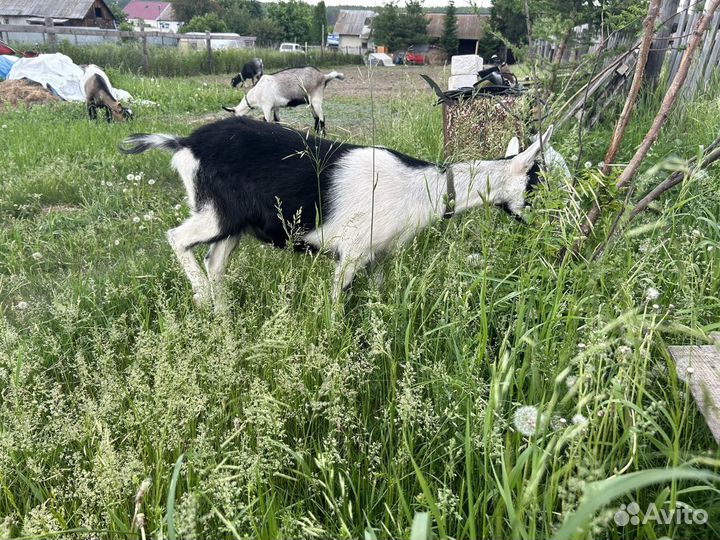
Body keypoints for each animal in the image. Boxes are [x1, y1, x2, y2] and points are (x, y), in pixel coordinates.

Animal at [120, 117, 553, 310]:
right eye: (538, 181)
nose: (546, 225)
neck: (422, 186)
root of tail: (185, 142)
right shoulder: (352, 254)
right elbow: (335, 305)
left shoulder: (379, 256)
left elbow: (378, 294)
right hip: (218, 213)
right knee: (178, 239)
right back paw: (201, 297)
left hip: (234, 225)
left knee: (215, 263)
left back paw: (224, 318)